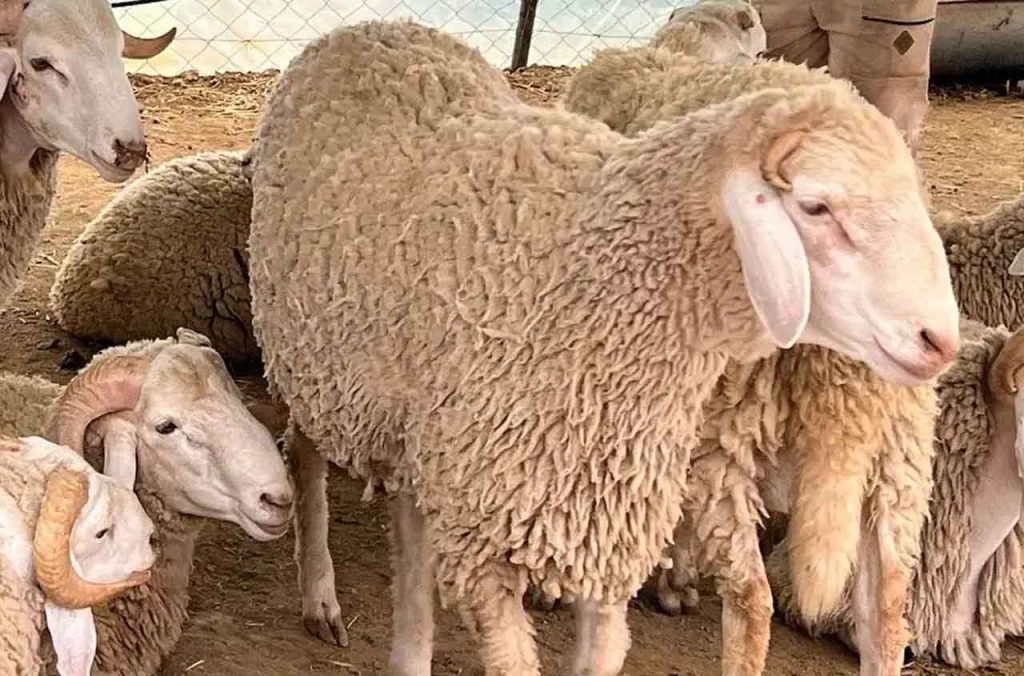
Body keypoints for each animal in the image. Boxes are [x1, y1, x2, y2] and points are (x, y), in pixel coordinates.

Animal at [245, 19, 958, 674]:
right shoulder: (491, 555)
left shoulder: (603, 533)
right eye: (815, 207)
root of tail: (371, 28)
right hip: (312, 359)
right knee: (303, 456)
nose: (940, 340)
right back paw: (320, 595)